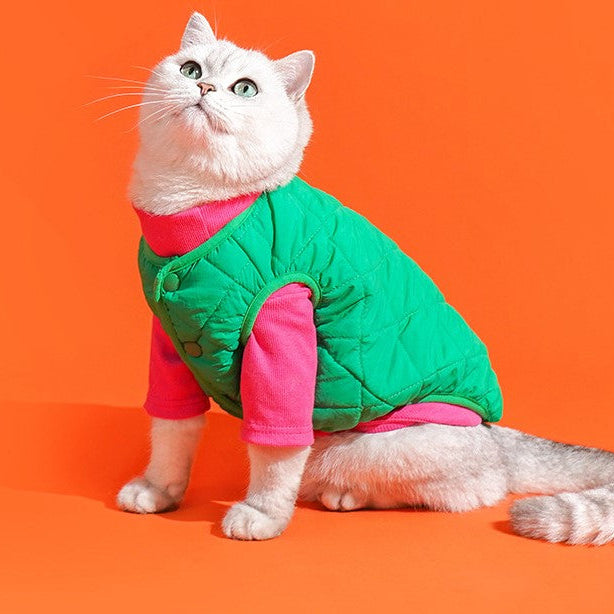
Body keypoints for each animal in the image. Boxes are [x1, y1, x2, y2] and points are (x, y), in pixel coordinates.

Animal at [117, 12, 614, 544]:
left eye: (244, 88)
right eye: (190, 69)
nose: (205, 86)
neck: (191, 212)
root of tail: (495, 436)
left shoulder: (282, 334)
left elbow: (275, 449)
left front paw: (262, 513)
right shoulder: (170, 342)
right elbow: (172, 428)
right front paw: (159, 489)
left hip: (372, 447)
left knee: (468, 489)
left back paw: (345, 495)